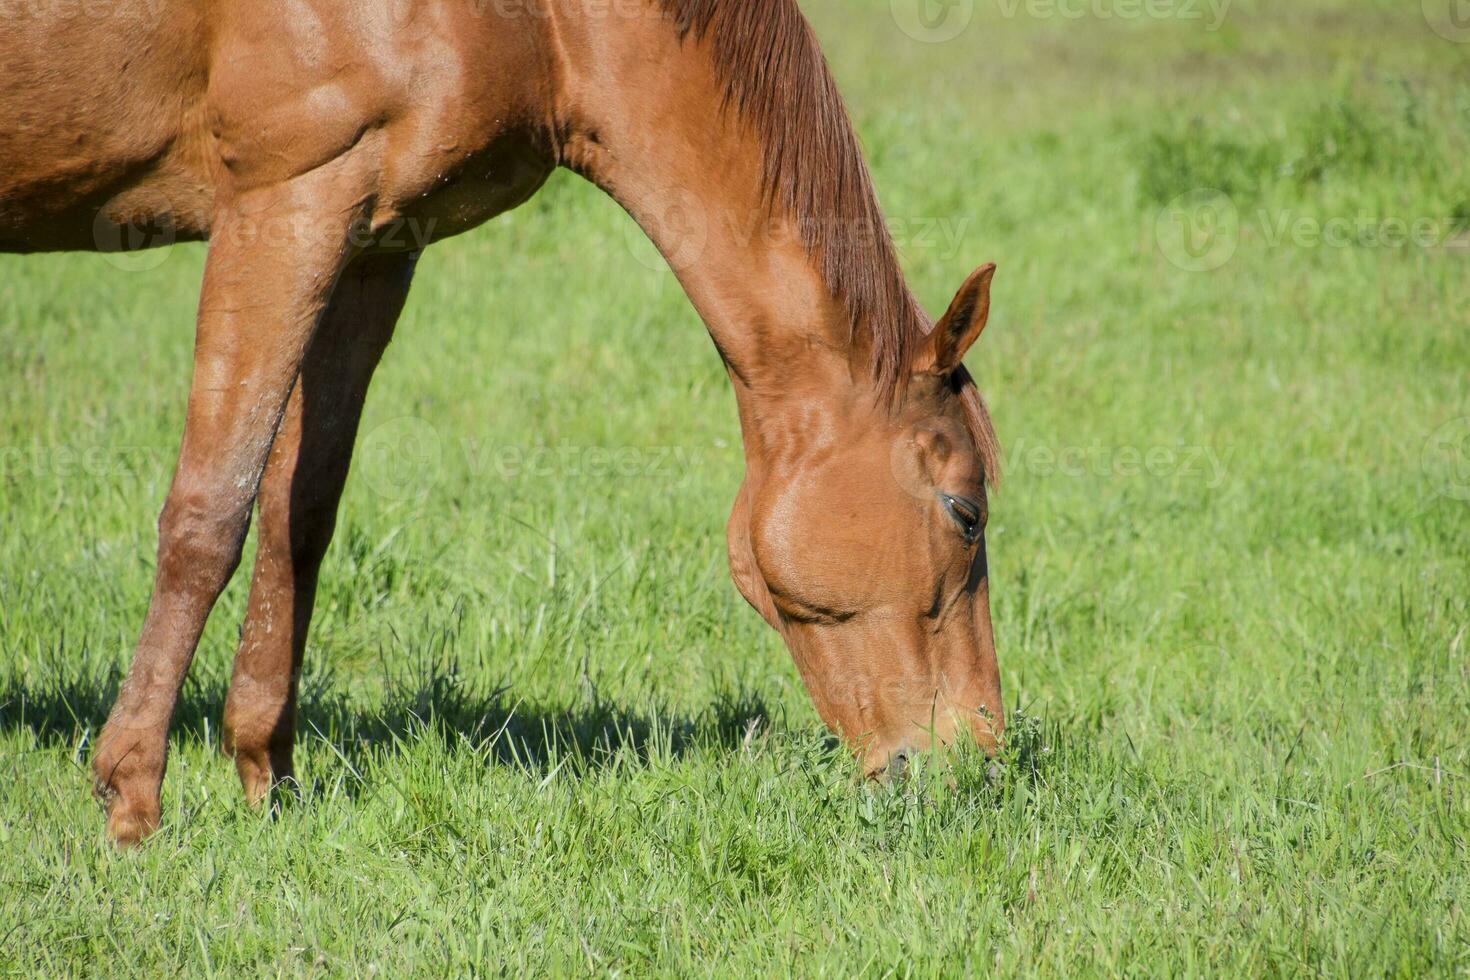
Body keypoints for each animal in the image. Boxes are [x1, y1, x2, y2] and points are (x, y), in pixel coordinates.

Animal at [0, 0, 1005, 846]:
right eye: (966, 513)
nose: (982, 764)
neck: (547, 24)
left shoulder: (372, 244)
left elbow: (300, 514)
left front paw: (266, 778)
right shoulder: (282, 207)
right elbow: (210, 514)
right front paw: (131, 799)